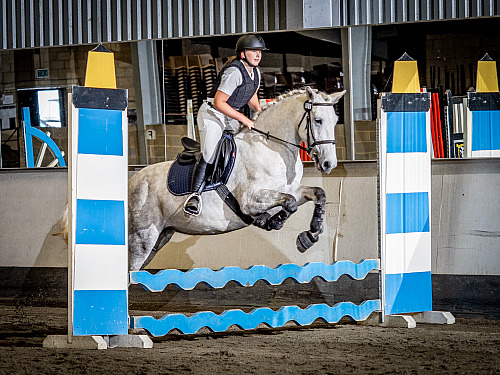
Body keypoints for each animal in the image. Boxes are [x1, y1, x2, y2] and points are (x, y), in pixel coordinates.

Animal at [128, 88, 344, 270]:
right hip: (141, 239)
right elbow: (289, 204)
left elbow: (317, 194)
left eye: (334, 121)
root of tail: (131, 182)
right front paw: (272, 221)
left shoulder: (290, 190)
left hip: (160, 237)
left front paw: (310, 235)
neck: (272, 147)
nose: (329, 164)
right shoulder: (250, 200)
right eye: (318, 120)